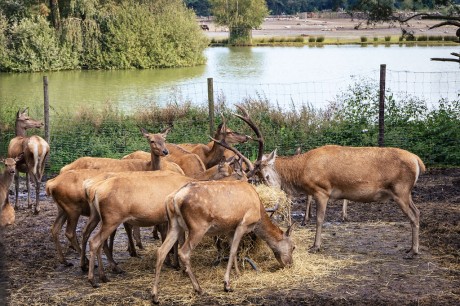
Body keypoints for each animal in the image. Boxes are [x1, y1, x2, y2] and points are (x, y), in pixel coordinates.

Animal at [151, 180, 294, 302]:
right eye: (293, 247)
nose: (290, 264)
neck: (258, 211)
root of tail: (173, 198)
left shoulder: (230, 228)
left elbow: (234, 251)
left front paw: (238, 274)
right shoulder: (243, 224)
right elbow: (233, 251)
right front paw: (227, 284)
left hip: (175, 224)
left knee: (161, 250)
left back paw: (155, 296)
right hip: (198, 226)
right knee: (184, 252)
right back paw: (198, 289)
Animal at [253, 146, 426, 258]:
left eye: (266, 176)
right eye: (259, 178)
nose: (272, 197)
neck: (301, 171)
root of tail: (418, 161)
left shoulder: (321, 190)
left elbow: (319, 219)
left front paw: (315, 246)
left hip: (401, 191)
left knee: (413, 215)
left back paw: (414, 251)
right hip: (406, 193)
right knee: (417, 212)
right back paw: (410, 248)